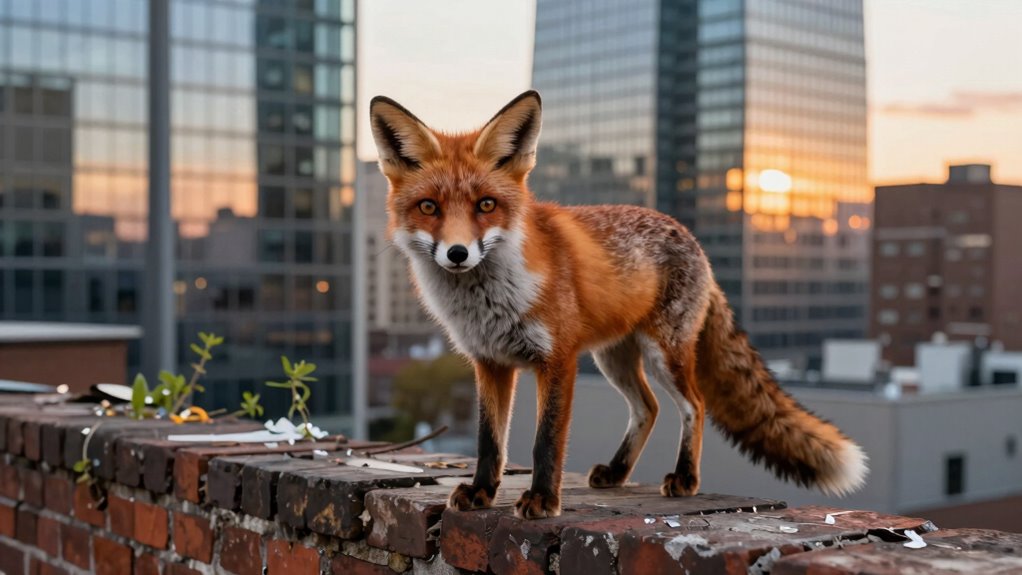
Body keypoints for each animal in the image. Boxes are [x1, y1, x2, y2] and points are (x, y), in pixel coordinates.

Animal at [369, 90, 868, 519]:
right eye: (429, 207)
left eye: (486, 205)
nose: (458, 254)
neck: (488, 300)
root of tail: (692, 238)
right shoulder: (490, 362)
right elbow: (489, 441)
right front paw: (482, 492)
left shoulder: (557, 359)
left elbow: (545, 441)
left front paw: (542, 500)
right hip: (614, 358)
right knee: (648, 408)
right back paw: (617, 471)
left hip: (664, 354)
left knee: (695, 405)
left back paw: (685, 478)